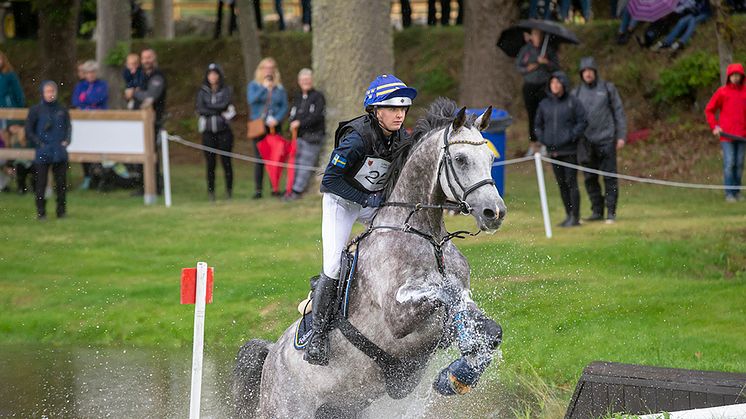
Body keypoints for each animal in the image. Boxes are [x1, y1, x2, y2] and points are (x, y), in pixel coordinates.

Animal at [232, 97, 506, 416]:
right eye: (461, 159)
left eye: (490, 159)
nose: (494, 212)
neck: (427, 236)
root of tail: (270, 356)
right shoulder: (398, 318)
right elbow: (443, 292)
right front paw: (456, 373)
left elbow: (486, 326)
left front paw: (457, 376)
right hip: (287, 409)